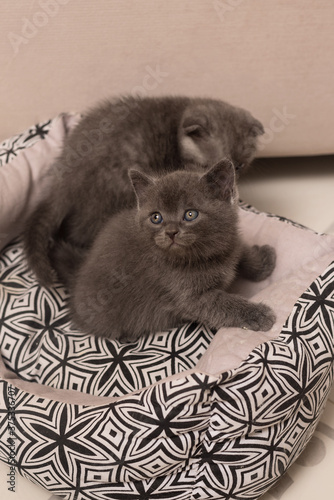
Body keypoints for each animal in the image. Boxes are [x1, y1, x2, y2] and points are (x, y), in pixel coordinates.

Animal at [53, 158, 276, 342]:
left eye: (190, 214)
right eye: (156, 217)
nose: (170, 232)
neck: (204, 254)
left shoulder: (229, 241)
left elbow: (239, 249)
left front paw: (263, 260)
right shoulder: (189, 297)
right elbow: (224, 305)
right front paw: (258, 314)